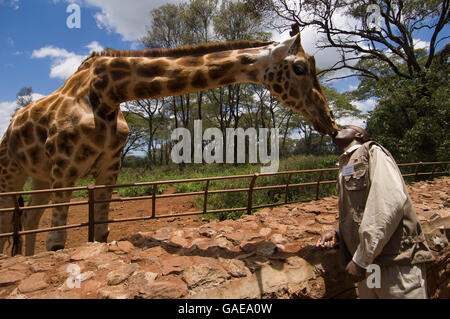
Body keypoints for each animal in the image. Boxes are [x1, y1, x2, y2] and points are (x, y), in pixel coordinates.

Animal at [0, 32, 338, 258]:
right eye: (299, 68)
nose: (329, 121)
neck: (108, 93)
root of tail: (10, 126)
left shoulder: (108, 170)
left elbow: (100, 233)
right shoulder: (65, 170)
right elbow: (55, 242)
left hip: (40, 176)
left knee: (28, 219)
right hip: (12, 173)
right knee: (8, 224)